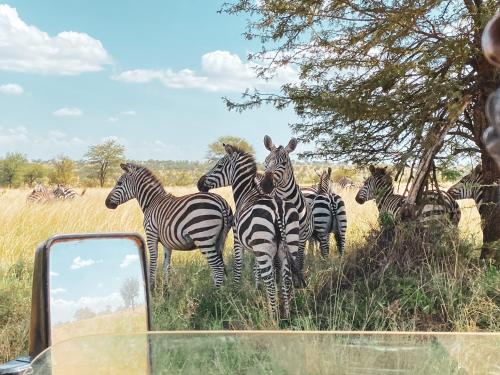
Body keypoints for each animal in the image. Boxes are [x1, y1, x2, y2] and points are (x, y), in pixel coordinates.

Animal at [104, 163, 233, 290]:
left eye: (119, 183)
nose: (106, 203)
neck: (151, 202)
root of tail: (221, 202)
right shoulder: (167, 243)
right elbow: (166, 265)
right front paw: (166, 290)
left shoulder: (151, 235)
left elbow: (153, 261)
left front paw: (152, 288)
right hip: (219, 239)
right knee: (219, 266)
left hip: (203, 237)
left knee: (217, 267)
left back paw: (214, 293)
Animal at [198, 144, 300, 318]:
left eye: (219, 165)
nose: (199, 183)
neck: (247, 191)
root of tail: (278, 209)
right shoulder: (255, 248)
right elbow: (256, 270)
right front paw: (257, 291)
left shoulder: (238, 240)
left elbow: (238, 265)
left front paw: (235, 291)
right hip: (289, 245)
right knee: (286, 279)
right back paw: (286, 315)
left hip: (265, 247)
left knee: (271, 281)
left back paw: (273, 317)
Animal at [262, 135, 312, 274]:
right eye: (265, 161)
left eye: (283, 163)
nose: (265, 185)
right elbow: (278, 262)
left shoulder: (301, 237)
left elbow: (298, 261)